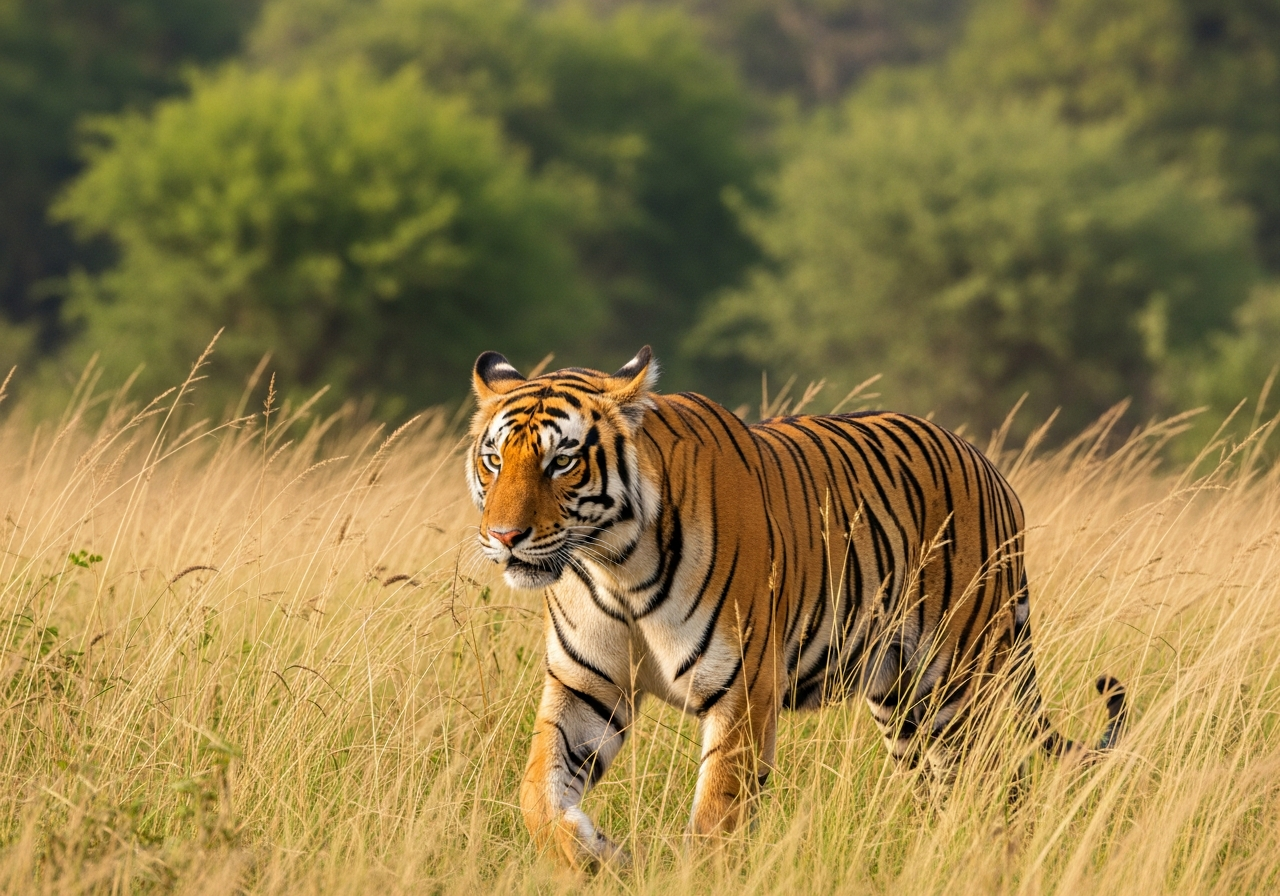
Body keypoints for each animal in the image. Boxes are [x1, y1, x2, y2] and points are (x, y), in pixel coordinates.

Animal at [466, 346, 1127, 869]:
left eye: (561, 461)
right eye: (494, 459)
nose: (503, 536)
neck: (615, 563)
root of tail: (993, 471)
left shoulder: (741, 690)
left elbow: (717, 817)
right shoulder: (585, 685)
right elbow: (538, 791)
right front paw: (596, 856)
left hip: (960, 686)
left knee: (1001, 785)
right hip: (902, 704)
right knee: (944, 790)